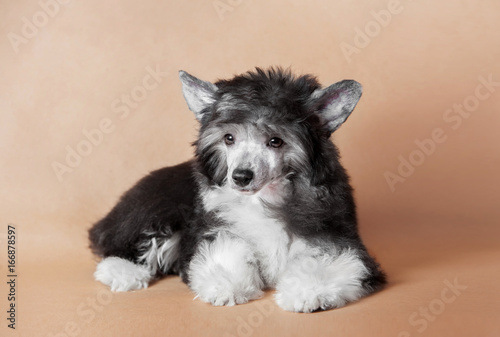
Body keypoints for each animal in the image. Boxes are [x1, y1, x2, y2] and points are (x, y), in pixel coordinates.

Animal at [89, 67, 386, 312]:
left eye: (275, 141)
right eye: (229, 138)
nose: (241, 176)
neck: (263, 197)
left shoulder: (333, 234)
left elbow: (326, 262)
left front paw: (308, 291)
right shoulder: (218, 227)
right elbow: (226, 252)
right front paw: (227, 285)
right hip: (155, 210)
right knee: (116, 246)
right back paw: (124, 272)